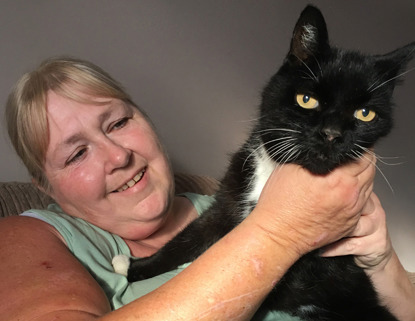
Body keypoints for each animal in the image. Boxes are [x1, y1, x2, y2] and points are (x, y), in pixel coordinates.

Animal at [124, 5, 415, 320]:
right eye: (306, 99)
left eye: (365, 114)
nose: (332, 134)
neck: (274, 170)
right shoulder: (229, 200)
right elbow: (189, 237)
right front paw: (135, 267)